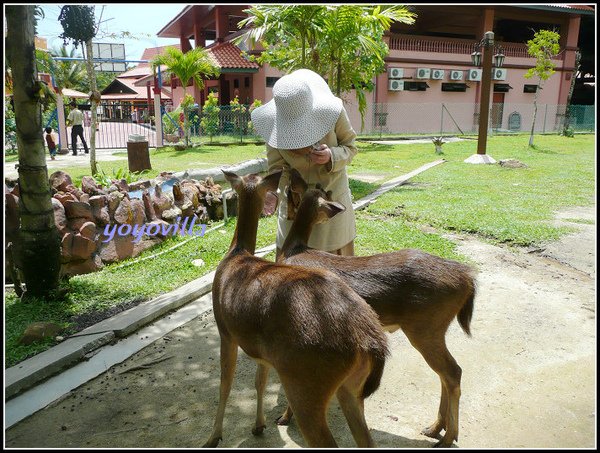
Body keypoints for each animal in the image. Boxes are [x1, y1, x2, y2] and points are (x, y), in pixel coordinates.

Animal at [203, 170, 390, 448]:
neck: (236, 253)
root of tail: (371, 342)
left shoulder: (225, 330)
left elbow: (224, 384)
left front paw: (213, 437)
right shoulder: (262, 351)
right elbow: (260, 382)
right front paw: (258, 425)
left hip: (307, 383)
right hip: (351, 387)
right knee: (366, 439)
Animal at [270, 168, 476, 446]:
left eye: (301, 187)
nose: (290, 170)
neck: (295, 250)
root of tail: (467, 277)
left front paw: (284, 417)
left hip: (425, 327)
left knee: (452, 372)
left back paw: (447, 436)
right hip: (434, 328)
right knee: (446, 373)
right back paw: (435, 428)